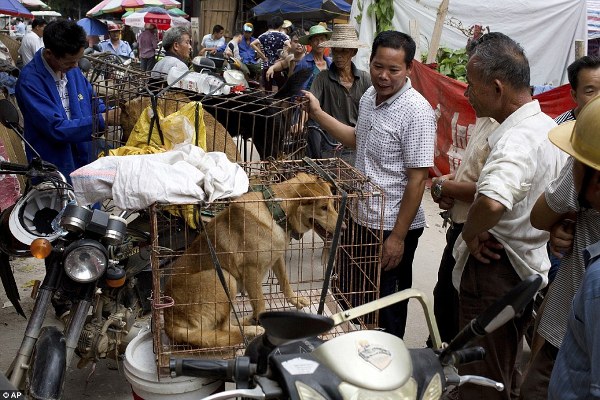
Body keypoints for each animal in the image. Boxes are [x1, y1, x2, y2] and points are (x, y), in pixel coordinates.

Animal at [164, 173, 342, 348]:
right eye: (323, 207)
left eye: (333, 205)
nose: (344, 228)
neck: (275, 212)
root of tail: (170, 321)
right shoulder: (252, 272)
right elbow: (260, 303)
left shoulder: (277, 257)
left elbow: (284, 281)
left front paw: (294, 299)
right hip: (224, 277)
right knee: (224, 328)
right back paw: (252, 329)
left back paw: (249, 321)